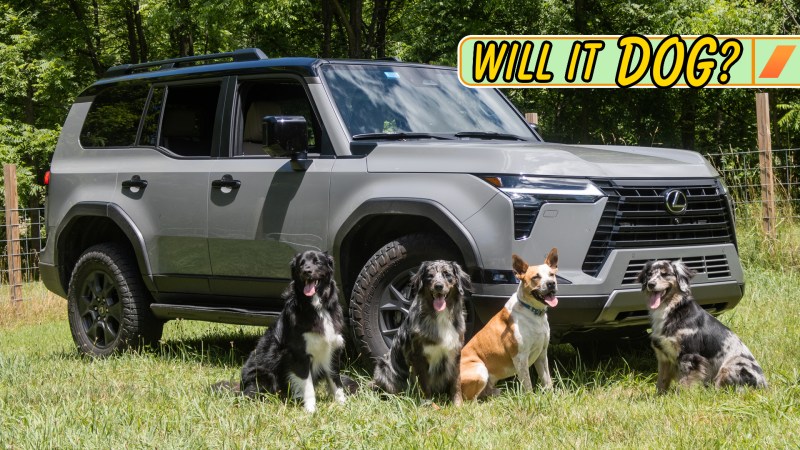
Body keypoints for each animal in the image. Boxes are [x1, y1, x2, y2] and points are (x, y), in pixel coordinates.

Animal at [236, 250, 352, 412]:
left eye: (317, 262)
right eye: (301, 264)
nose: (306, 271)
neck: (317, 307)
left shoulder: (332, 350)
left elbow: (336, 382)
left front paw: (342, 405)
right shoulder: (300, 355)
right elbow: (308, 386)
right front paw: (310, 410)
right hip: (262, 377)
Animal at [372, 260, 472, 404]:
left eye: (447, 274)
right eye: (430, 276)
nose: (438, 286)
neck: (440, 316)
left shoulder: (455, 353)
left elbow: (456, 383)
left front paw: (458, 404)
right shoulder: (418, 356)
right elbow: (424, 385)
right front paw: (429, 404)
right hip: (382, 367)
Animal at [460, 250, 560, 400]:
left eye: (551, 274)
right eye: (536, 277)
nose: (551, 283)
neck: (533, 313)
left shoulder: (542, 354)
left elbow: (547, 381)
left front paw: (552, 398)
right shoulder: (520, 357)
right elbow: (528, 384)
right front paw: (530, 400)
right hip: (480, 369)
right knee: (468, 400)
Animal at [640, 260, 764, 394]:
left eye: (665, 274)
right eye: (649, 274)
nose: (651, 284)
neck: (673, 310)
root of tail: (764, 386)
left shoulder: (690, 356)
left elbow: (684, 383)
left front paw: (681, 397)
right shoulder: (663, 356)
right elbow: (661, 381)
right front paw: (659, 396)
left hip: (732, 366)